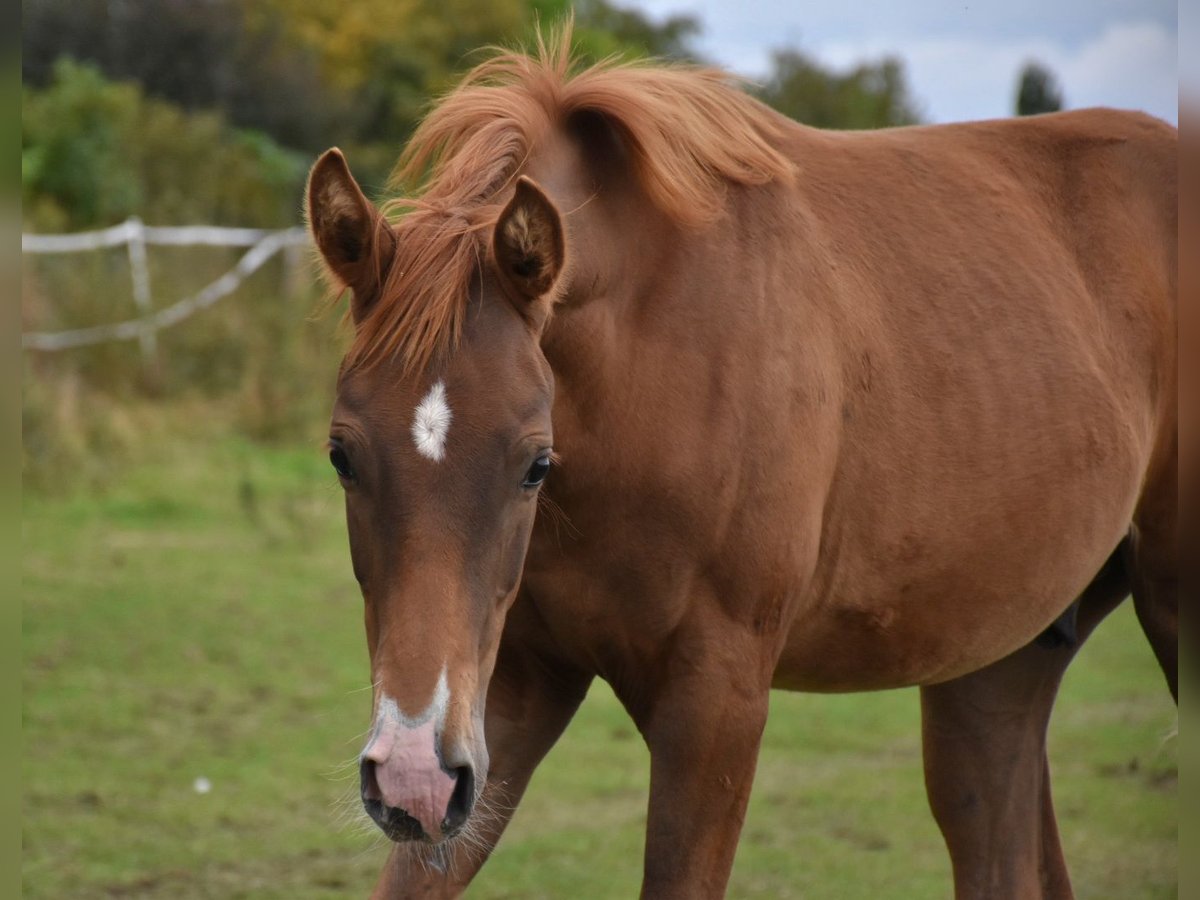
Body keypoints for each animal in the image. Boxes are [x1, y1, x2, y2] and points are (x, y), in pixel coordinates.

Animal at [304, 28, 1176, 900]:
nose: (411, 777)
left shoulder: (716, 705)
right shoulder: (514, 687)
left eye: (535, 464)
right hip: (997, 667)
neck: (654, 352)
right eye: (342, 455)